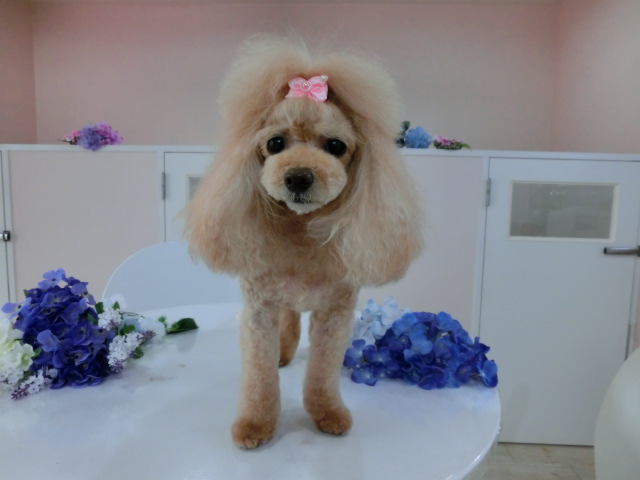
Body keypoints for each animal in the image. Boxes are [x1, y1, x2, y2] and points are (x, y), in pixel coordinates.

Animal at [185, 36, 423, 449]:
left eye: (336, 146)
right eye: (275, 142)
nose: (298, 176)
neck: (300, 231)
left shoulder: (336, 313)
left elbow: (323, 371)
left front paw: (327, 412)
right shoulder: (259, 311)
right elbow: (260, 375)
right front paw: (255, 422)